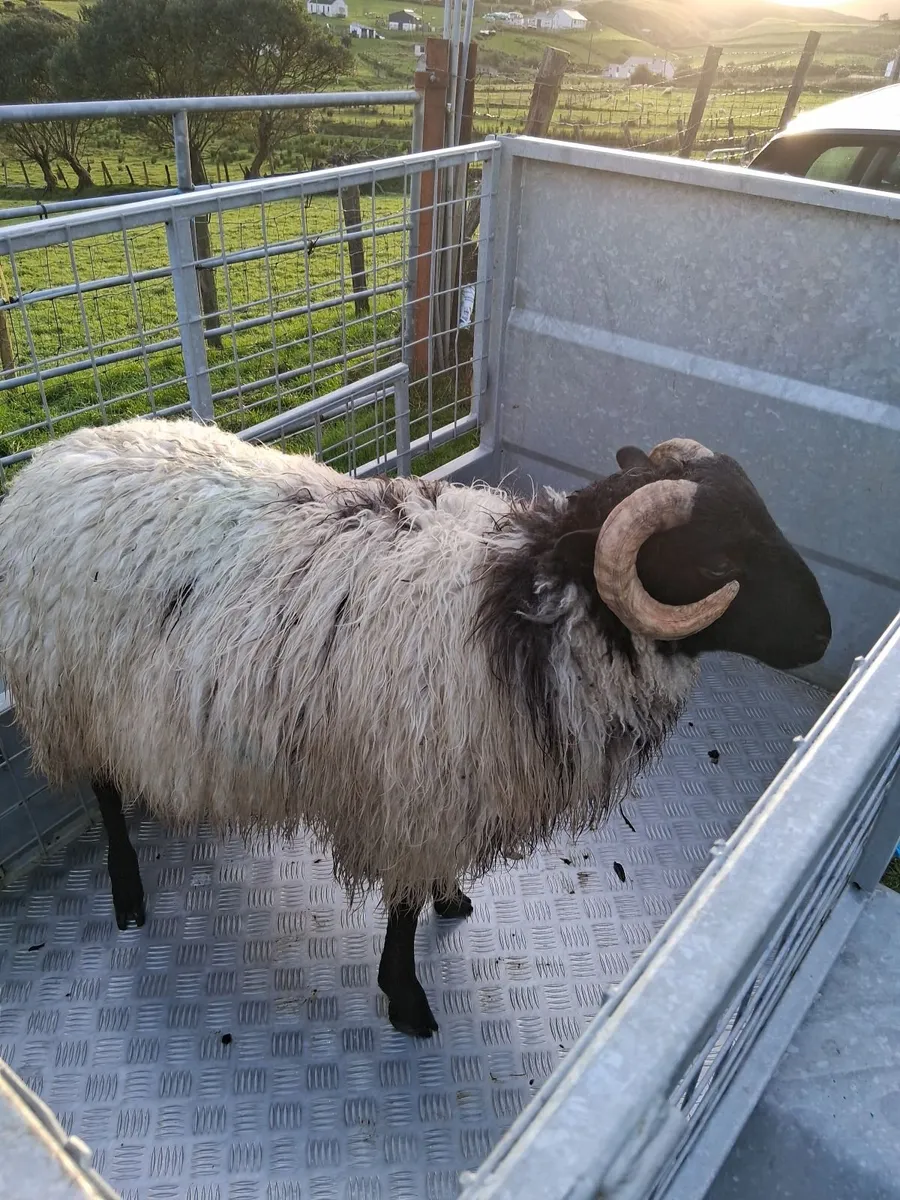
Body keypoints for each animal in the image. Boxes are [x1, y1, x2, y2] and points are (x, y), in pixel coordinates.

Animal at [0, 419, 832, 1038]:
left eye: (765, 517)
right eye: (720, 560)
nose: (824, 635)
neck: (527, 605)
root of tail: (50, 458)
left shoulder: (448, 789)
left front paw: (452, 899)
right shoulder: (407, 793)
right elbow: (400, 914)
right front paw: (405, 1000)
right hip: (70, 694)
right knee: (105, 795)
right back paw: (128, 895)